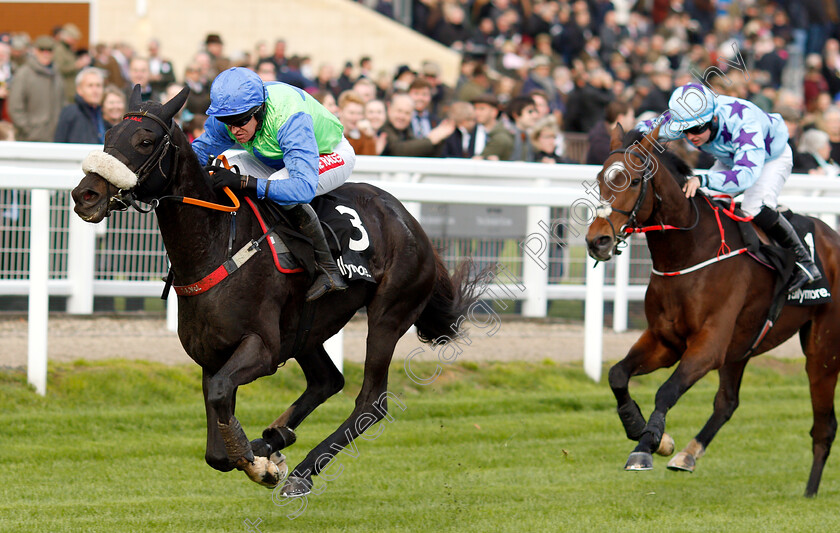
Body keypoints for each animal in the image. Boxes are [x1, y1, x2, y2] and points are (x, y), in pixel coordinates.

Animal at [70, 85, 486, 496]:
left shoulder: (262, 348)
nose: (85, 195)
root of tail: (411, 222)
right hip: (307, 327)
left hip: (389, 314)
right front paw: (260, 456)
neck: (216, 242)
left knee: (370, 401)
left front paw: (259, 465)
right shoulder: (212, 355)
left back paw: (303, 470)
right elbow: (216, 447)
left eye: (145, 140)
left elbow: (221, 397)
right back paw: (275, 438)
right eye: (108, 135)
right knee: (327, 380)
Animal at [584, 123, 840, 494]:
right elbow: (617, 374)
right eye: (600, 179)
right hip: (741, 346)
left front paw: (646, 446)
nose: (597, 241)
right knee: (727, 402)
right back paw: (688, 455)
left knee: (824, 424)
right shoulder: (665, 340)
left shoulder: (708, 345)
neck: (688, 253)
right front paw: (649, 435)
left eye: (632, 181)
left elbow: (667, 390)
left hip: (822, 349)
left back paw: (809, 492)